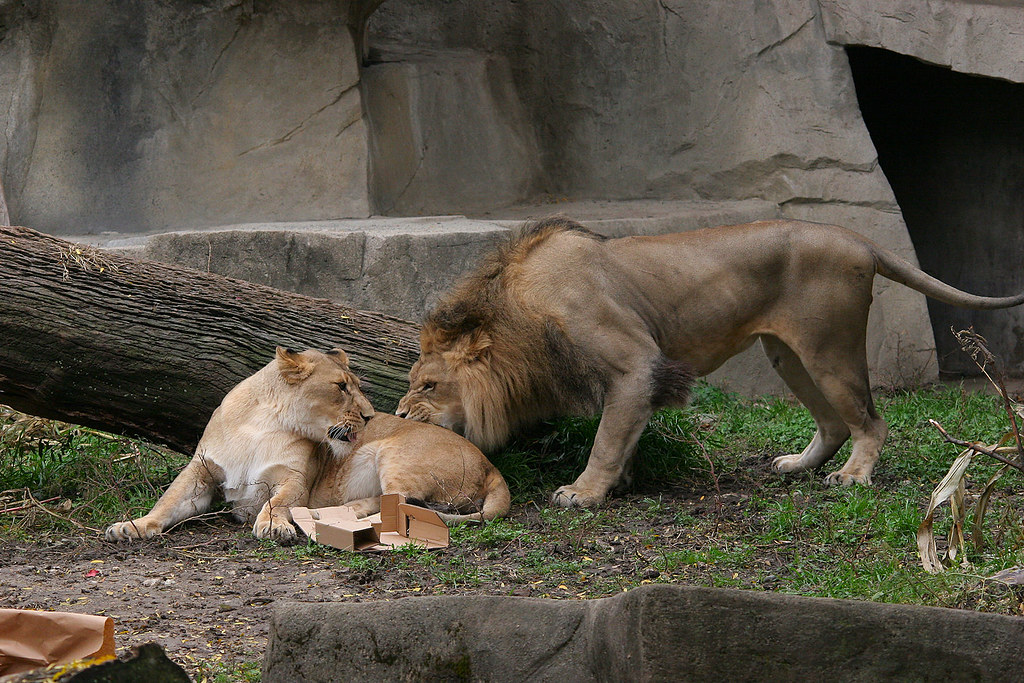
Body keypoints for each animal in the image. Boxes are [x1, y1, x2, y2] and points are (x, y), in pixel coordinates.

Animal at [106, 347, 509, 543]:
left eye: (355, 386)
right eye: (341, 387)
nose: (369, 416)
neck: (263, 423)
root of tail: (492, 467)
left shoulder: (295, 478)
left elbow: (277, 502)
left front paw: (273, 526)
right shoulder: (201, 472)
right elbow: (168, 501)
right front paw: (133, 526)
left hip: (391, 453)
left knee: (402, 510)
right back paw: (328, 515)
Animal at [397, 217, 1024, 508]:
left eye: (428, 385)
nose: (399, 416)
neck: (517, 318)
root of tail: (856, 238)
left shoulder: (635, 361)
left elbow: (606, 437)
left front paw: (585, 492)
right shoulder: (630, 379)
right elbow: (624, 431)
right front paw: (622, 482)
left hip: (829, 346)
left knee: (870, 420)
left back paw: (852, 477)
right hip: (788, 354)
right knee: (834, 422)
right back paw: (798, 465)